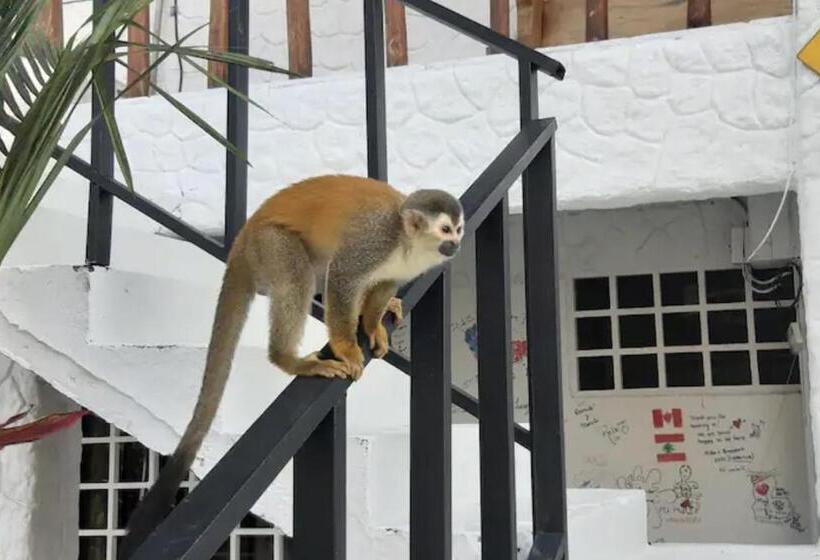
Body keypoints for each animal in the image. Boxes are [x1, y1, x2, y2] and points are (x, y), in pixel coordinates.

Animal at [124, 174, 464, 556]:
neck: (408, 242)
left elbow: (381, 284)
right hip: (269, 244)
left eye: (459, 229)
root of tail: (243, 237)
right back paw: (288, 360)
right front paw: (347, 347)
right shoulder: (374, 241)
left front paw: (374, 321)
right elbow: (344, 278)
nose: (455, 245)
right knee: (300, 276)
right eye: (445, 229)